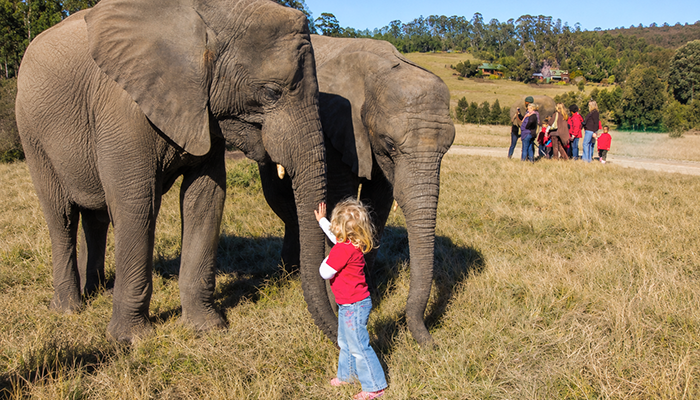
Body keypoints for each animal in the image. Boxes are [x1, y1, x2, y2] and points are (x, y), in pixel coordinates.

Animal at [15, 0, 327, 343]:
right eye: (272, 92)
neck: (211, 14)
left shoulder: (203, 113)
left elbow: (205, 199)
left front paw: (207, 328)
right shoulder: (122, 108)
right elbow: (136, 204)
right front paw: (131, 340)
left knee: (95, 217)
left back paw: (97, 292)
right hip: (32, 133)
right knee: (62, 216)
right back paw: (69, 308)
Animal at [258, 35, 455, 346]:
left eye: (447, 149)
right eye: (390, 144)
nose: (432, 342)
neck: (381, 69)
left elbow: (379, 203)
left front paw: (370, 290)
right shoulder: (336, 127)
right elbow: (341, 192)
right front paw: (337, 299)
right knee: (279, 197)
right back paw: (288, 273)